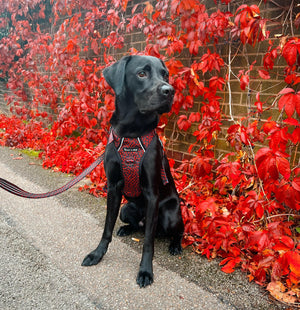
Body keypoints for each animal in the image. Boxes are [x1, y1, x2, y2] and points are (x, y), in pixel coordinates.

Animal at [82, 55, 185, 288]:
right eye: (141, 73)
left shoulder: (152, 194)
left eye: (165, 74)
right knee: (137, 225)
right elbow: (107, 228)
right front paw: (97, 254)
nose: (170, 91)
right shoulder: (113, 187)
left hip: (170, 215)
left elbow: (148, 242)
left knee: (176, 232)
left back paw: (175, 246)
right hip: (126, 209)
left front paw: (145, 271)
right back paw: (127, 228)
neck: (131, 133)